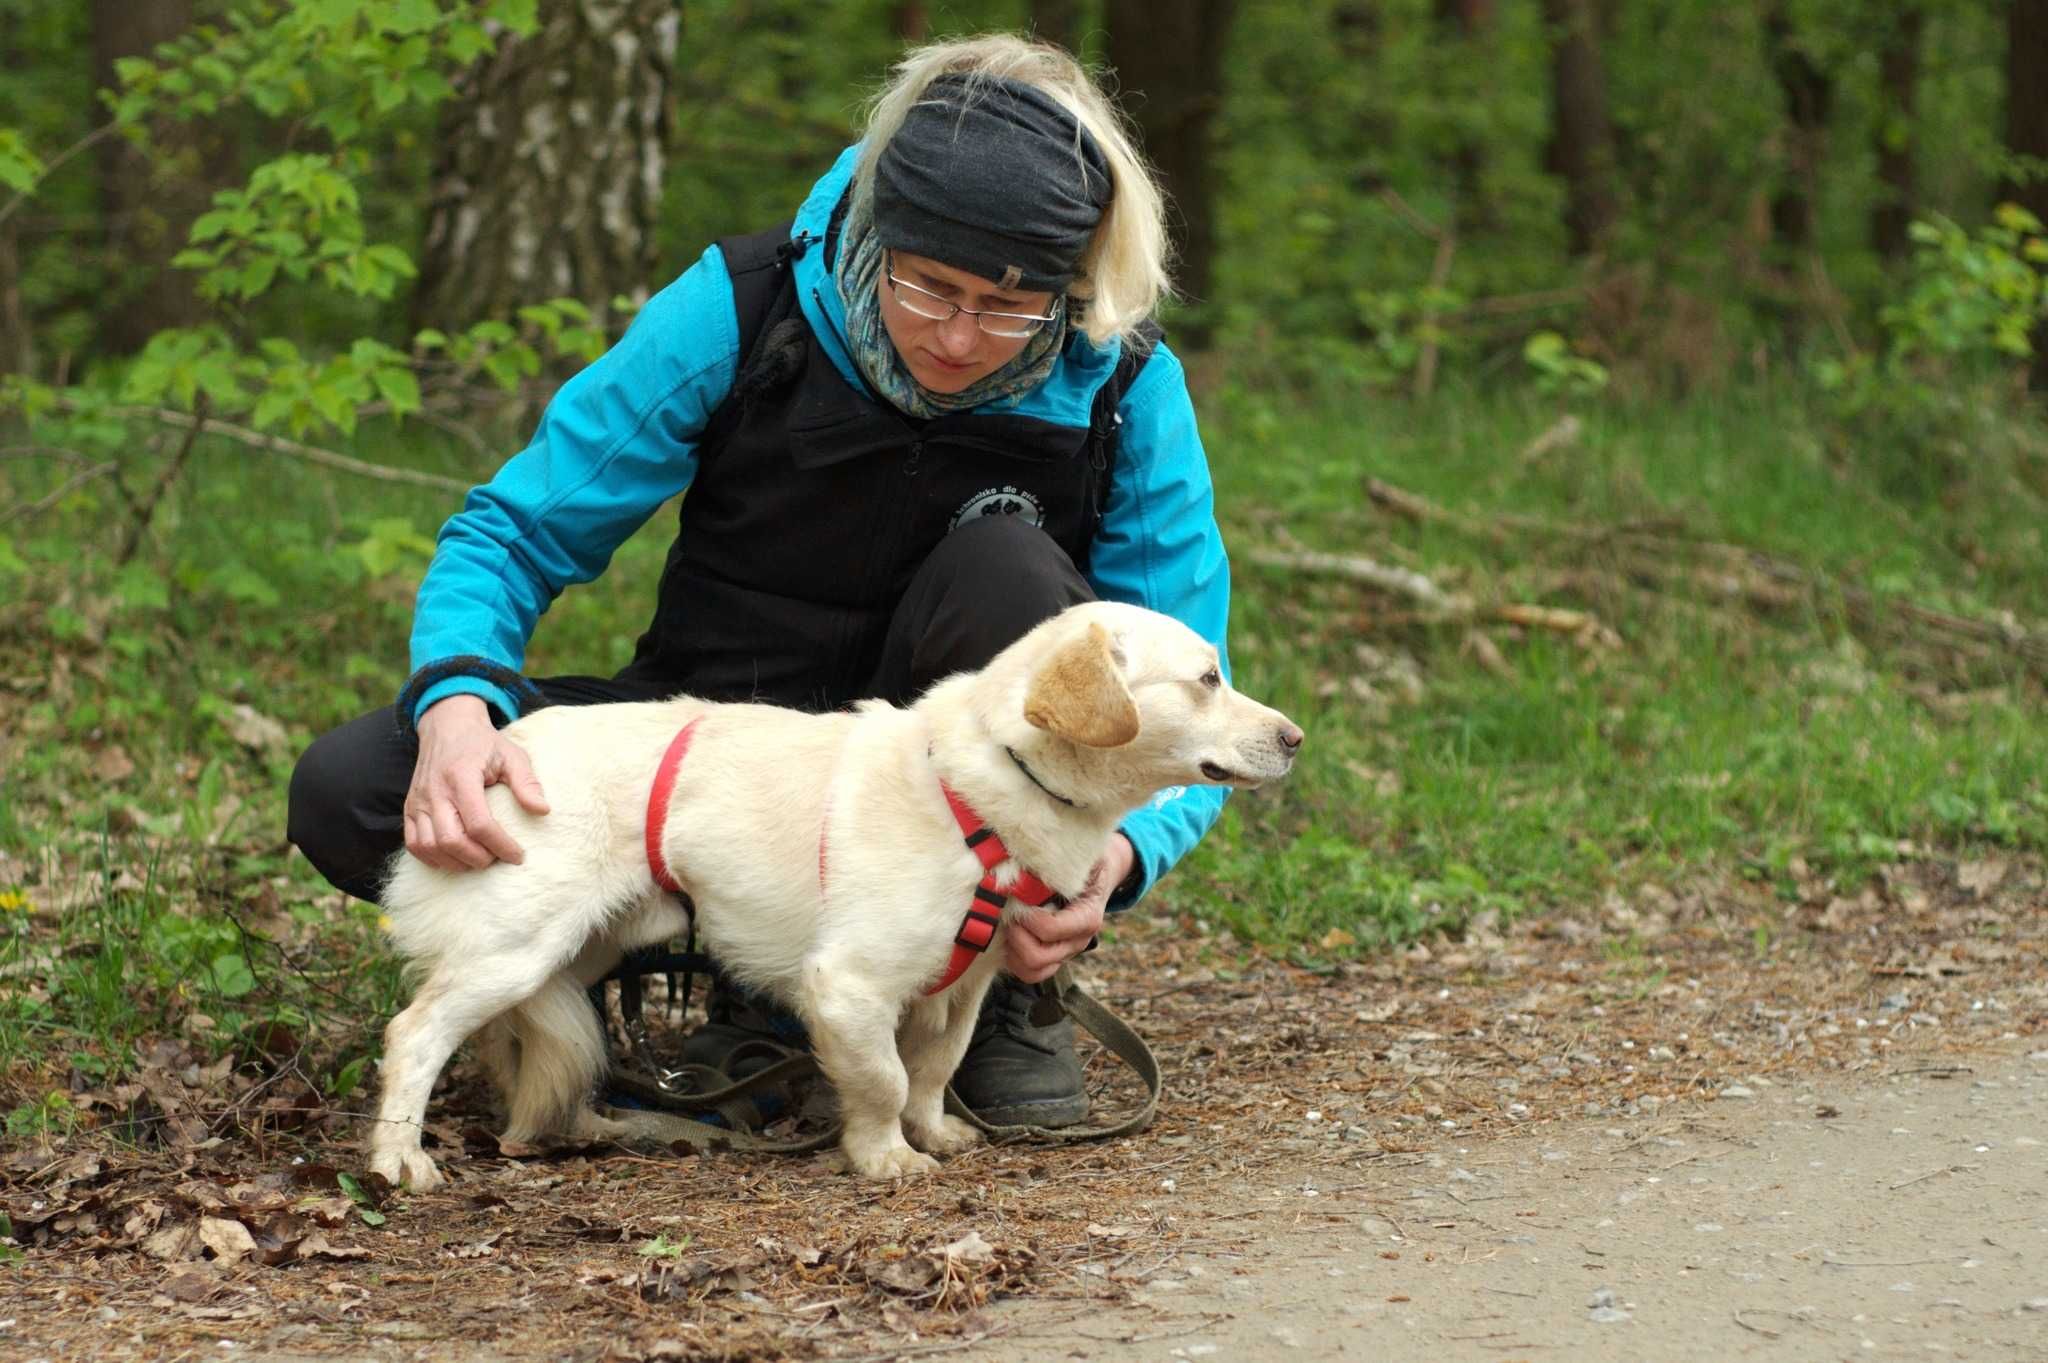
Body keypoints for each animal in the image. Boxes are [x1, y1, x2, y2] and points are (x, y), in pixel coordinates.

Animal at [366, 601, 1302, 1186]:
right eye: (1208, 678)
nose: (1296, 738)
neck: (993, 785)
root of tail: (506, 744)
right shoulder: (848, 986)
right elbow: (882, 1078)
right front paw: (884, 1156)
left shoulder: (960, 988)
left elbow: (932, 1071)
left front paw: (934, 1131)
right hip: (517, 946)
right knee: (416, 1034)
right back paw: (399, 1160)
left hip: (580, 950)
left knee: (532, 1044)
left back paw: (580, 1127)